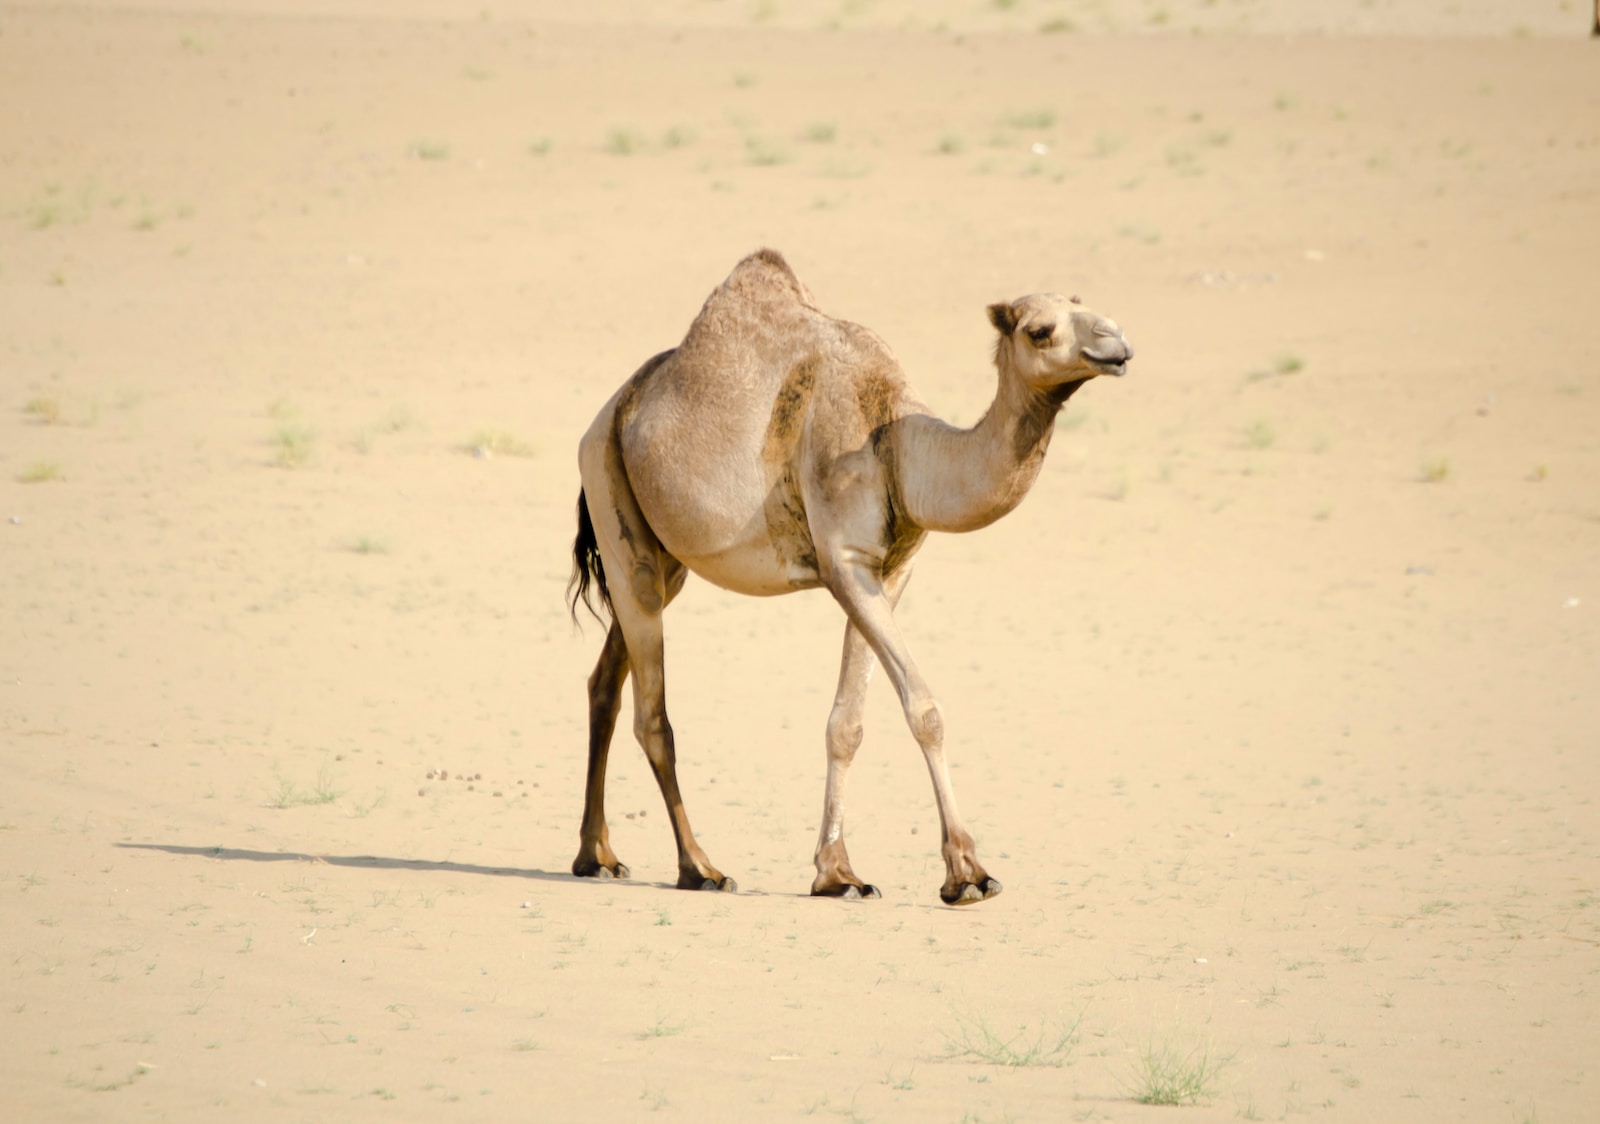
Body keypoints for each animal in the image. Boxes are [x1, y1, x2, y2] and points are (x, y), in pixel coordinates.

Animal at [569, 248, 1132, 909]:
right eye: (1040, 330)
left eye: (1087, 308)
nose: (1117, 342)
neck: (897, 443)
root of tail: (608, 413)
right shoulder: (846, 561)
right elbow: (924, 708)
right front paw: (968, 873)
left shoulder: (890, 570)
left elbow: (847, 724)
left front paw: (838, 874)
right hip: (610, 493)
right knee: (652, 714)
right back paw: (699, 867)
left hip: (662, 556)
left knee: (605, 681)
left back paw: (597, 856)